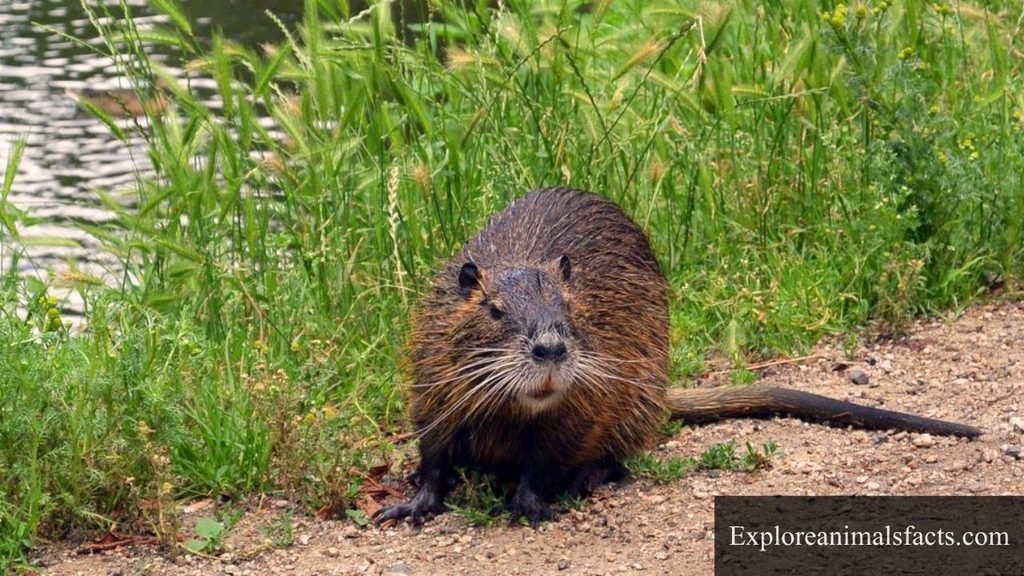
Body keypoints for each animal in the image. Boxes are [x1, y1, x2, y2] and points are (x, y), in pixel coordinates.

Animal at [374, 187, 980, 526]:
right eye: (495, 309)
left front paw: (535, 503)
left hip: (644, 392)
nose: (550, 349)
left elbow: (547, 458)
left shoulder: (591, 398)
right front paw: (407, 505)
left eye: (568, 304)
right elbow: (435, 448)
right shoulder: (433, 379)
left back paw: (591, 477)